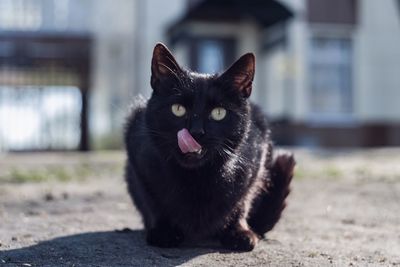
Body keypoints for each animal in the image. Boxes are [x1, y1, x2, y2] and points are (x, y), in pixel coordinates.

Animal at [123, 43, 296, 252]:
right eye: (178, 109)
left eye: (218, 113)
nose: (196, 132)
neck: (196, 177)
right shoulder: (138, 161)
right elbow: (152, 201)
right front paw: (163, 231)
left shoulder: (256, 163)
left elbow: (242, 203)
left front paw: (239, 232)